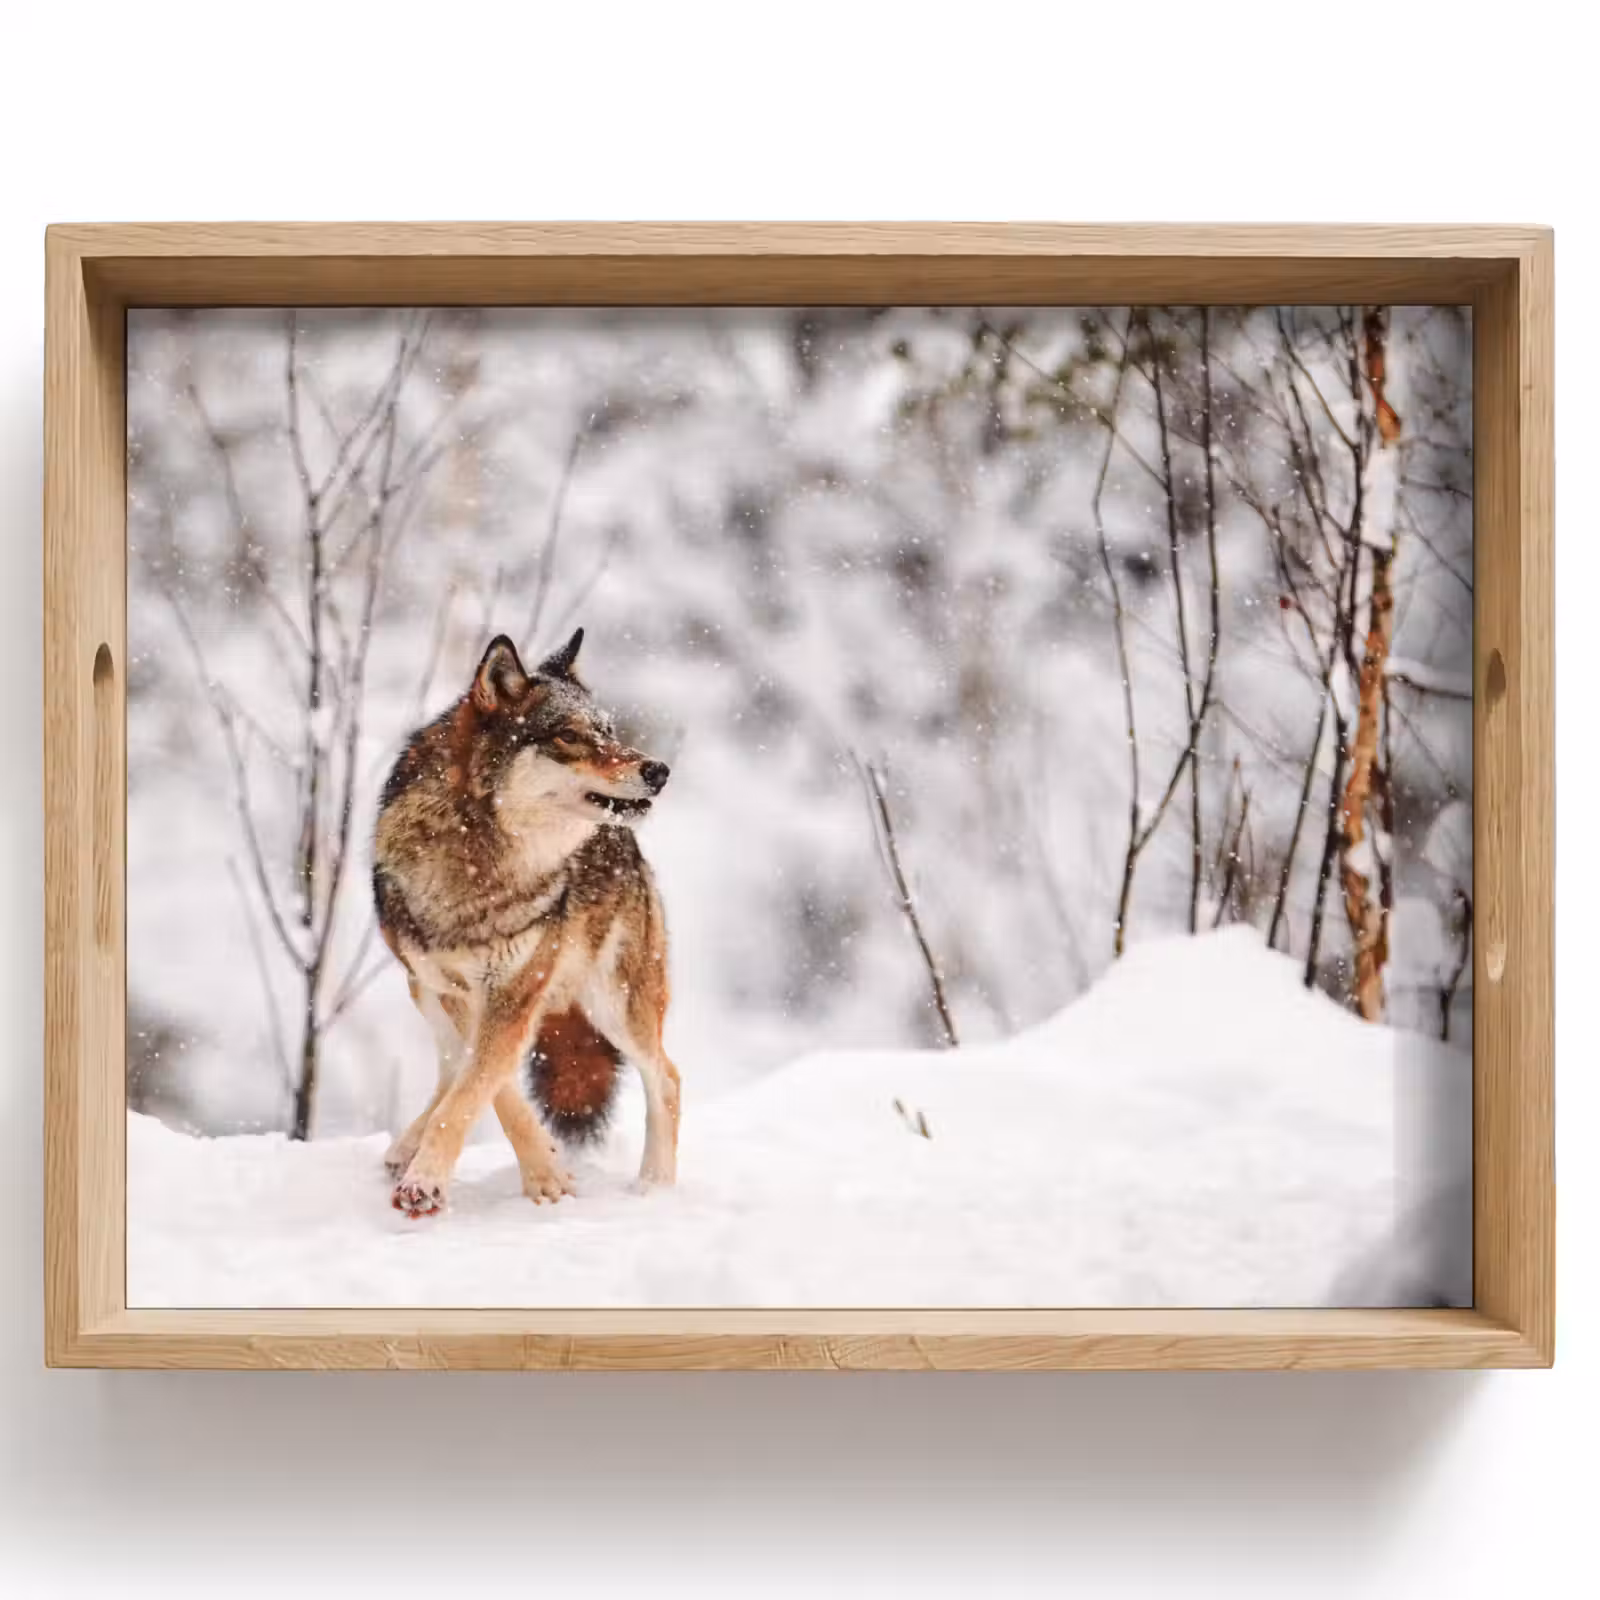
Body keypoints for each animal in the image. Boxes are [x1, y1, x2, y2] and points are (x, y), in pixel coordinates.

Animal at [372, 628, 680, 1218]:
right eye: (569, 736)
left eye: (608, 731)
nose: (658, 770)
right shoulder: (459, 991)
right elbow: (489, 1088)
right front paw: (546, 1171)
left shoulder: (514, 990)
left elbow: (477, 1088)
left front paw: (430, 1182)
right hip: (422, 990)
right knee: (450, 1066)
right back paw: (404, 1146)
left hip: (615, 1003)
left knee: (668, 1078)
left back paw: (655, 1187)